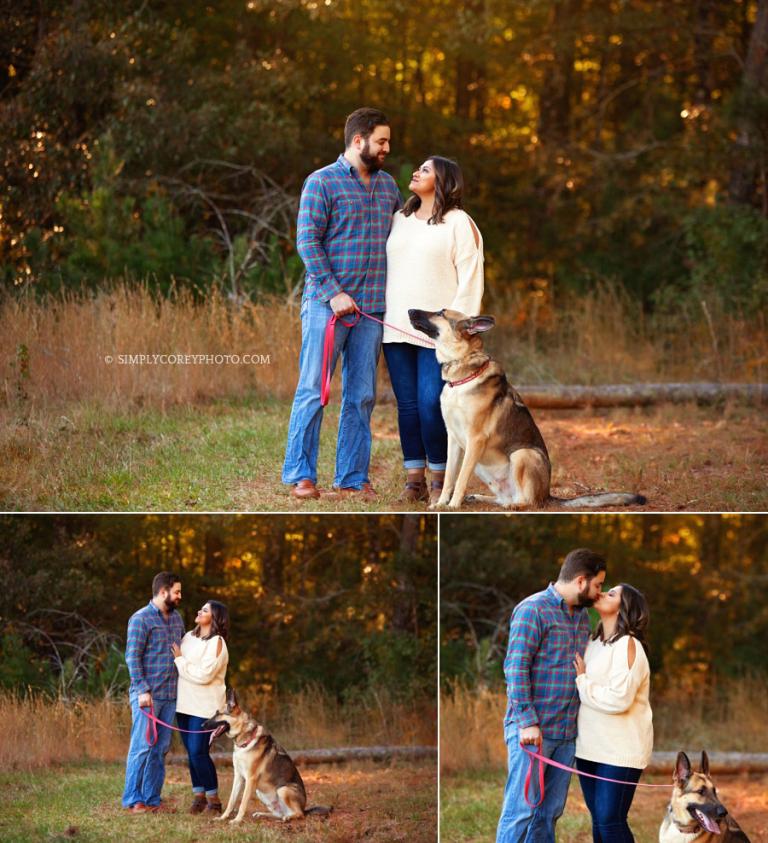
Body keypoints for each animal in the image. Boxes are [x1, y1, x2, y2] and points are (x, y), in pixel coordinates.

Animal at [201, 692, 330, 824]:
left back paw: (288, 818)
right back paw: (262, 814)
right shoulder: (238, 777)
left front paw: (237, 820)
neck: (244, 739)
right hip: (261, 792)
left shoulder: (250, 779)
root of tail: (304, 808)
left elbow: (242, 803)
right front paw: (223, 817)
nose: (202, 725)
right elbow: (232, 801)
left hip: (283, 790)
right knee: (279, 814)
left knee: (299, 814)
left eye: (218, 714)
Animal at [408, 308, 648, 512]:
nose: (409, 310)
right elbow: (449, 477)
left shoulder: (475, 439)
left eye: (441, 313)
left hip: (523, 454)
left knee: (528, 502)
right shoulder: (454, 439)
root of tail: (548, 495)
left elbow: (460, 479)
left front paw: (452, 505)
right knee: (505, 497)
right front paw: (441, 503)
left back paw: (513, 505)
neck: (461, 376)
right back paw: (481, 498)